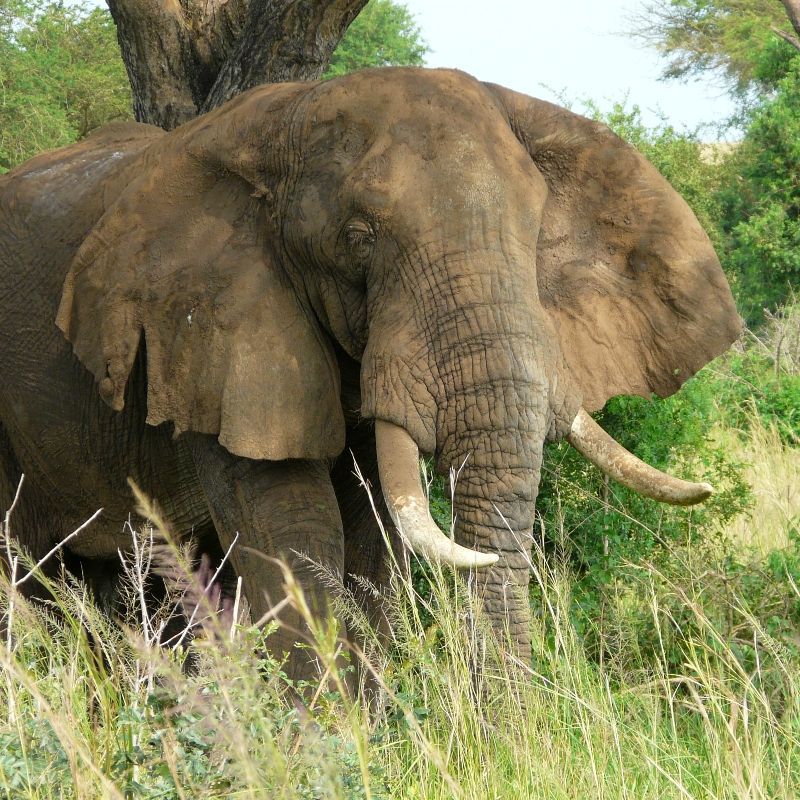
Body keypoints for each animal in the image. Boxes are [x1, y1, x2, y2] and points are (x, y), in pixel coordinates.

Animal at [0, 67, 741, 672]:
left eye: (534, 237)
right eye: (358, 242)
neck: (289, 121)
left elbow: (372, 543)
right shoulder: (213, 335)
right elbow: (295, 538)